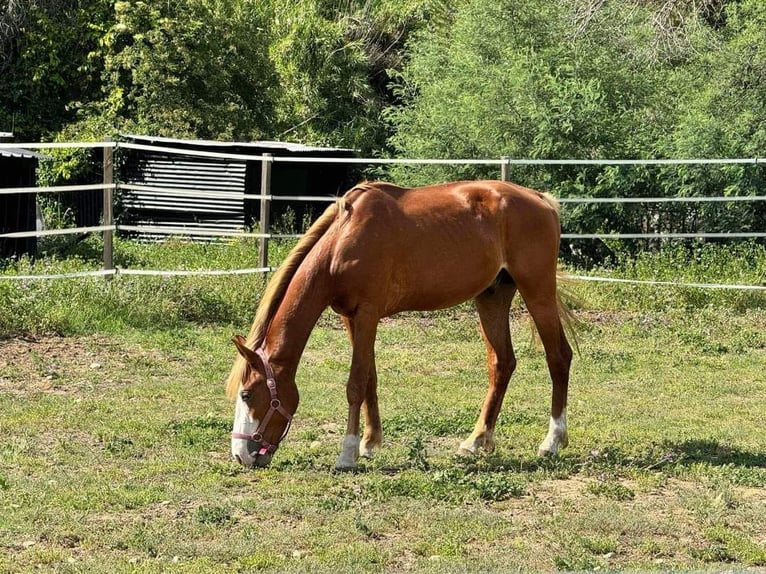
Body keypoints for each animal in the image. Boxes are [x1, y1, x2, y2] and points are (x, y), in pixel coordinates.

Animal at [228, 181, 576, 472]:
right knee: (502, 363)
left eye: (247, 394)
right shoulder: (350, 317)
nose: (240, 455)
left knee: (559, 357)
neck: (344, 240)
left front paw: (347, 453)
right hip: (492, 297)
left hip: (537, 291)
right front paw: (370, 443)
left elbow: (355, 383)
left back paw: (552, 441)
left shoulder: (368, 314)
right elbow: (370, 378)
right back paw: (477, 440)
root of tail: (541, 200)